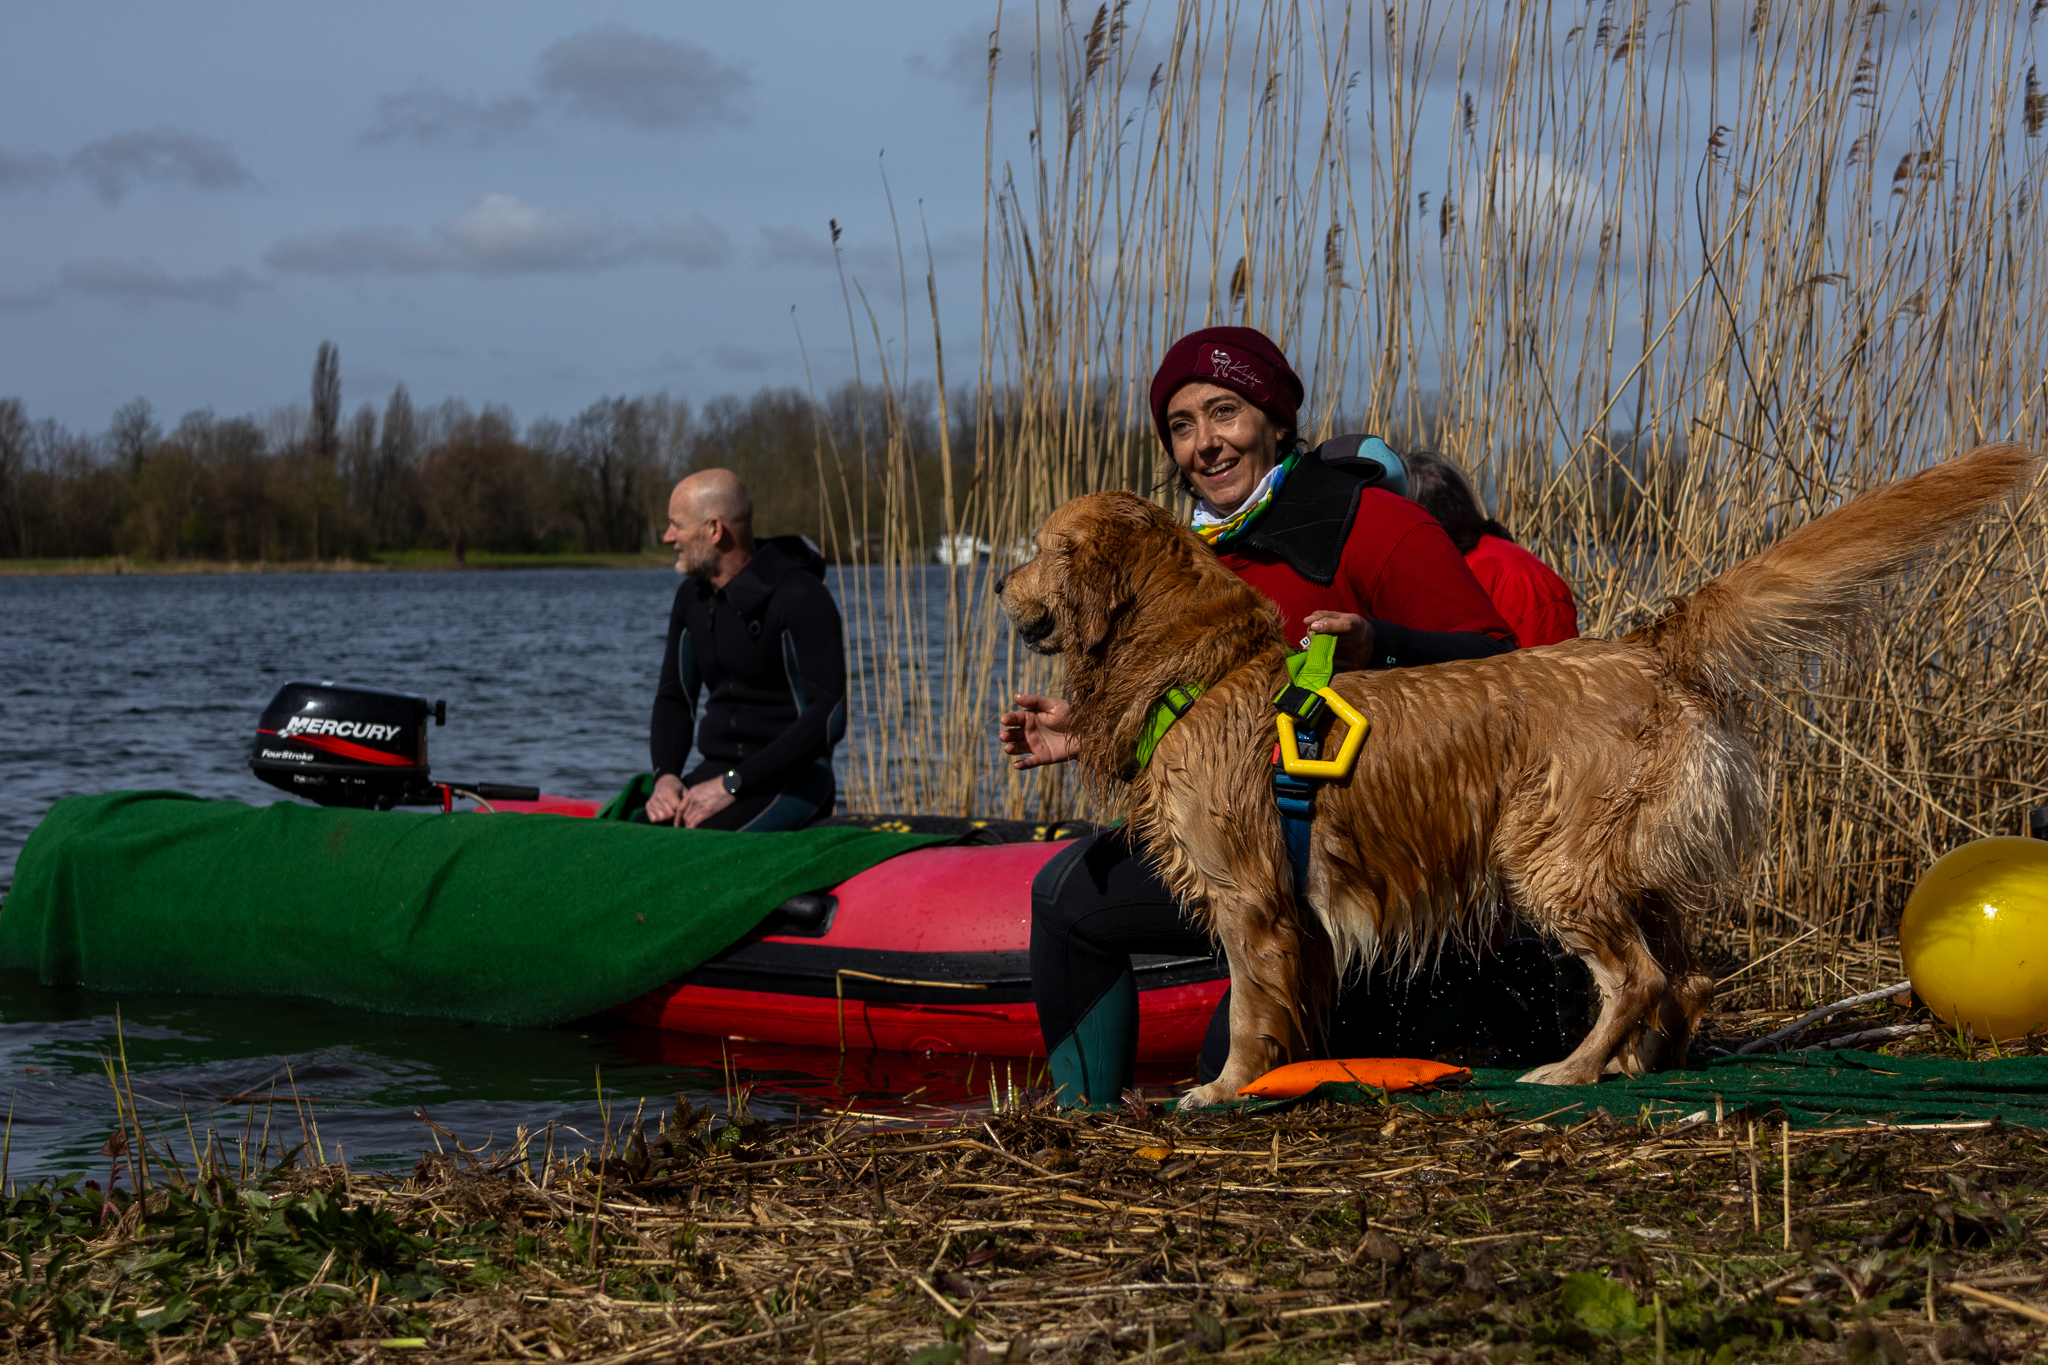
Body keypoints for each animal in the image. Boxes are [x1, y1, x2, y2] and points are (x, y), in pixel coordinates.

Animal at [998, 444, 2039, 1106]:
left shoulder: (1251, 897)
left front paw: (1222, 1088)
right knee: (1686, 974)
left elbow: (1255, 1009)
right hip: (1629, 862)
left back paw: (1574, 1071)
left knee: (1637, 974)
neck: (1199, 671)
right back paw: (1636, 1067)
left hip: (1550, 858)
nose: (1001, 585)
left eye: (1041, 545)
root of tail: (1647, 646)